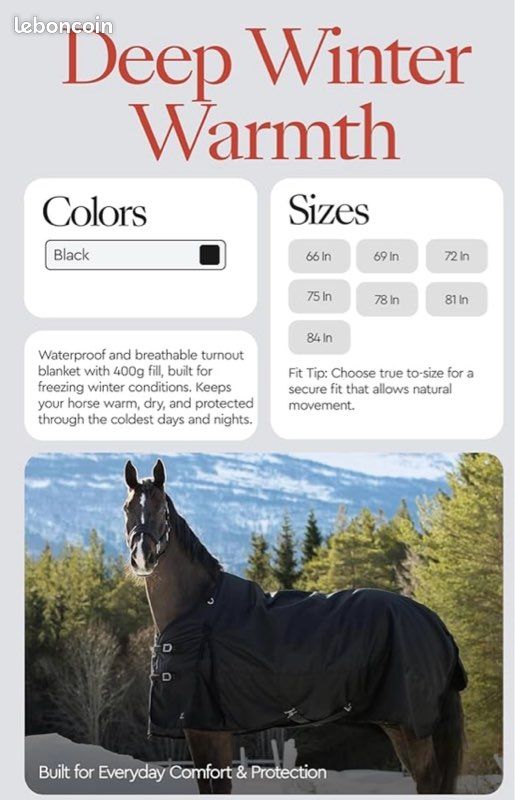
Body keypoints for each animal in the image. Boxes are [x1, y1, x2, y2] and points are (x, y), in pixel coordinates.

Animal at [123, 459, 467, 795]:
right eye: (128, 508)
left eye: (162, 510)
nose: (142, 557)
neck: (198, 608)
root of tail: (434, 622)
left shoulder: (204, 727)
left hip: (409, 725)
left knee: (429, 779)